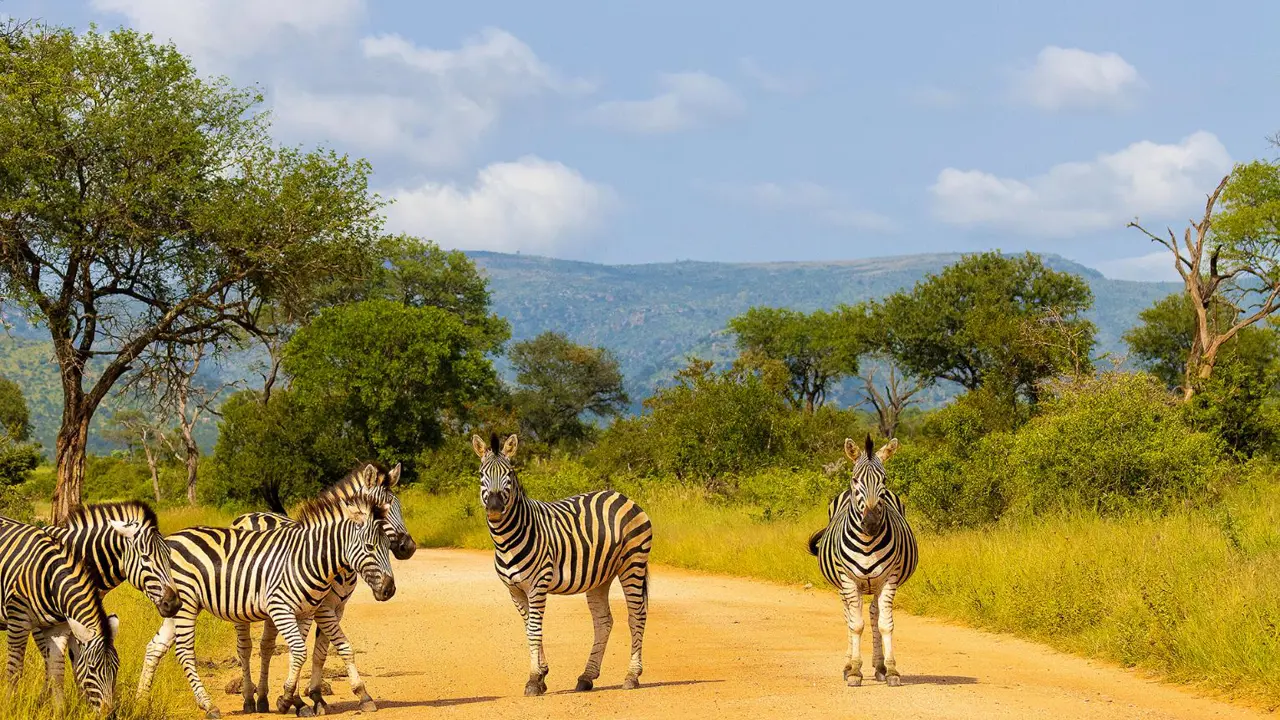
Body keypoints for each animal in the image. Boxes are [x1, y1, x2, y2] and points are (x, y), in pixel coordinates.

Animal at [0, 512, 120, 707]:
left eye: (116, 667)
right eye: (92, 669)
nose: (108, 712)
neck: (49, 577)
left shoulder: (59, 629)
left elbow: (57, 672)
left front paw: (59, 710)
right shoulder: (18, 620)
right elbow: (14, 670)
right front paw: (9, 705)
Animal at [134, 484, 394, 712]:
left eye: (387, 545)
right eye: (370, 547)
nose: (389, 589)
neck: (308, 559)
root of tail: (169, 540)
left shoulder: (306, 612)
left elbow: (322, 649)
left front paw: (298, 700)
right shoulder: (283, 608)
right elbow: (300, 651)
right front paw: (288, 699)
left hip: (175, 606)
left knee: (155, 647)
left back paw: (141, 702)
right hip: (186, 605)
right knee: (187, 652)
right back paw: (211, 706)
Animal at [225, 458, 412, 712]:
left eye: (399, 506)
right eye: (382, 510)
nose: (409, 547)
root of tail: (252, 515)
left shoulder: (335, 608)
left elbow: (321, 652)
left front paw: (315, 696)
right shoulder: (321, 609)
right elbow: (324, 647)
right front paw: (295, 699)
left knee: (266, 646)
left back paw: (262, 698)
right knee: (245, 648)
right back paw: (248, 699)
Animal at [471, 430, 650, 696]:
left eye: (509, 474)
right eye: (482, 475)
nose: (494, 509)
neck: (506, 540)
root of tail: (622, 496)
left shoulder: (538, 583)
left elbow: (535, 630)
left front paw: (534, 680)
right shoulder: (514, 590)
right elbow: (530, 629)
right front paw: (541, 675)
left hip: (633, 563)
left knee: (636, 615)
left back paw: (632, 676)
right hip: (601, 576)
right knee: (603, 621)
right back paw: (587, 677)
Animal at [803, 435, 916, 686]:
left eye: (884, 480)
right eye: (855, 480)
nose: (871, 523)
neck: (867, 542)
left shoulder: (890, 578)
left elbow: (885, 624)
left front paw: (891, 670)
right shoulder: (848, 579)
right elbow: (855, 625)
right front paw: (854, 671)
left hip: (875, 584)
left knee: (874, 614)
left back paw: (879, 666)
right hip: (843, 585)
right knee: (848, 615)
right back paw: (848, 666)